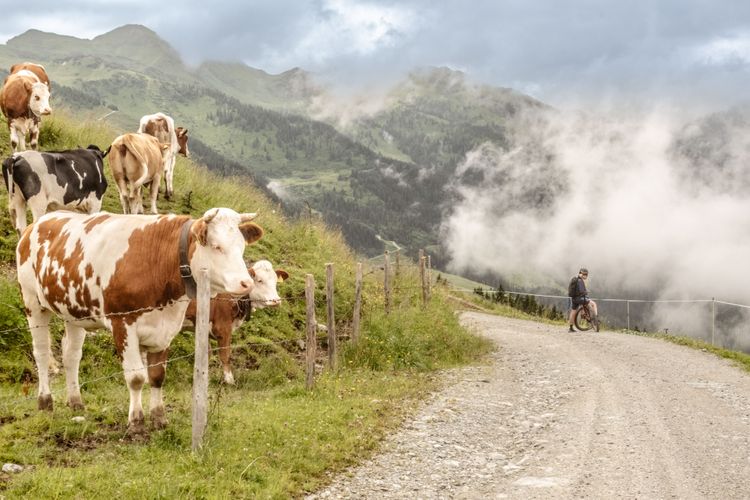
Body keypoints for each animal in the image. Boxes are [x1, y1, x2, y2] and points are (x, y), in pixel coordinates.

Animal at [16, 207, 266, 434]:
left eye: (242, 246)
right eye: (217, 246)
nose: (246, 283)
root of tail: (38, 222)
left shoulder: (165, 329)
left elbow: (157, 376)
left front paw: (159, 418)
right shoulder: (122, 324)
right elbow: (136, 377)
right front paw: (136, 421)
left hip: (74, 312)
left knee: (71, 355)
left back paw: (76, 401)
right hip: (32, 303)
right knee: (41, 352)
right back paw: (45, 401)